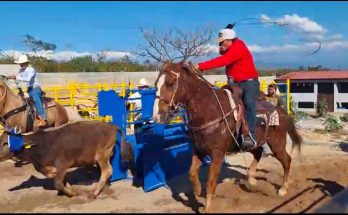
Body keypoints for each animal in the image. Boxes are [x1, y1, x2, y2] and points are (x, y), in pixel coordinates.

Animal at [0, 121, 134, 198]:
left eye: (5, 143)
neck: (42, 145)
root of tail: (112, 126)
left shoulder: (62, 165)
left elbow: (58, 183)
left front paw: (71, 193)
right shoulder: (54, 168)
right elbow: (60, 179)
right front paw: (68, 189)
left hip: (101, 156)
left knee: (107, 171)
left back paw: (94, 193)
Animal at [154, 61, 304, 212]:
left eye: (171, 82)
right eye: (156, 83)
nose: (158, 115)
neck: (209, 111)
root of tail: (280, 110)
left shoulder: (217, 153)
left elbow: (211, 181)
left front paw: (207, 208)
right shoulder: (199, 149)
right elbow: (191, 173)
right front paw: (198, 191)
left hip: (276, 143)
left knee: (286, 161)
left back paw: (283, 189)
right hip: (252, 143)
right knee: (259, 152)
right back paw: (251, 179)